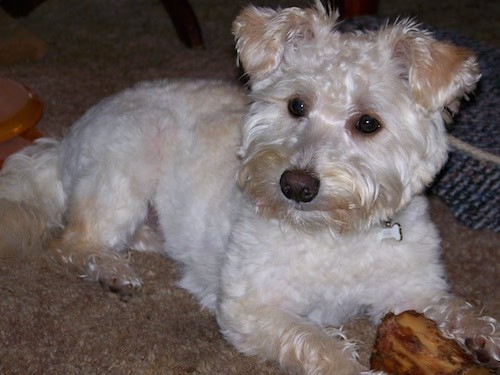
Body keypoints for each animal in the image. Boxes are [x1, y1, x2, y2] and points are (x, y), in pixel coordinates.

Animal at [0, 3, 500, 375]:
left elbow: (459, 308)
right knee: (74, 240)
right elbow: (320, 345)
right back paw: (112, 271)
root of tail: (66, 141)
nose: (295, 185)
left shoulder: (414, 291)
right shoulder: (252, 308)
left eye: (367, 123)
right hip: (126, 168)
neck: (336, 232)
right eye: (296, 105)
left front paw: (484, 338)